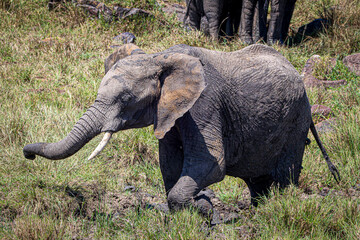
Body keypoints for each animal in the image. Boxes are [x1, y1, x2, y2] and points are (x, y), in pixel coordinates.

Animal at [23, 43, 340, 219]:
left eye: (126, 99)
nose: (27, 154)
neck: (159, 56)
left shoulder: (204, 104)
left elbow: (211, 163)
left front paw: (204, 208)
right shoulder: (170, 112)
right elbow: (169, 163)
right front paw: (198, 207)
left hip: (296, 120)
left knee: (285, 177)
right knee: (258, 182)